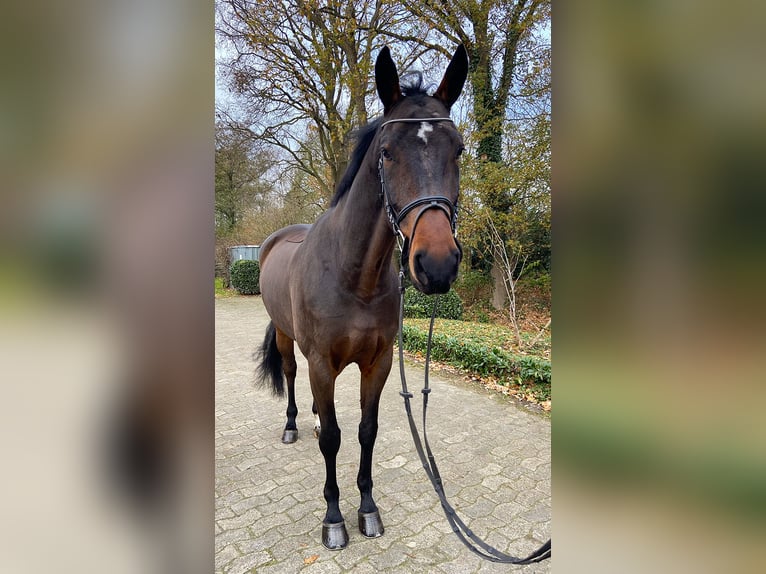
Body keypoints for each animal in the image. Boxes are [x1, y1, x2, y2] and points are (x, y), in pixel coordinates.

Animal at [256, 44, 468, 550]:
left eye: (459, 149)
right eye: (387, 153)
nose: (436, 265)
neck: (355, 277)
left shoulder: (378, 363)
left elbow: (365, 432)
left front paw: (368, 508)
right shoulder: (321, 363)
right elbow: (333, 439)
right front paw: (334, 518)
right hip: (289, 342)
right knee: (291, 377)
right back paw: (293, 425)